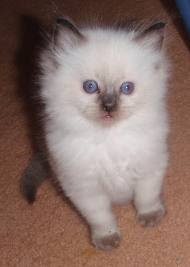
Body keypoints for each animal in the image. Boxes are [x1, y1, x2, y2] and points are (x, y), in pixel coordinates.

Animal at [21, 17, 169, 251]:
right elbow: (101, 218)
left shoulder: (150, 169)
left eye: (127, 88)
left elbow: (147, 198)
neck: (109, 139)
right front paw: (107, 240)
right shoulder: (85, 189)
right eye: (90, 86)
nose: (109, 107)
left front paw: (151, 218)